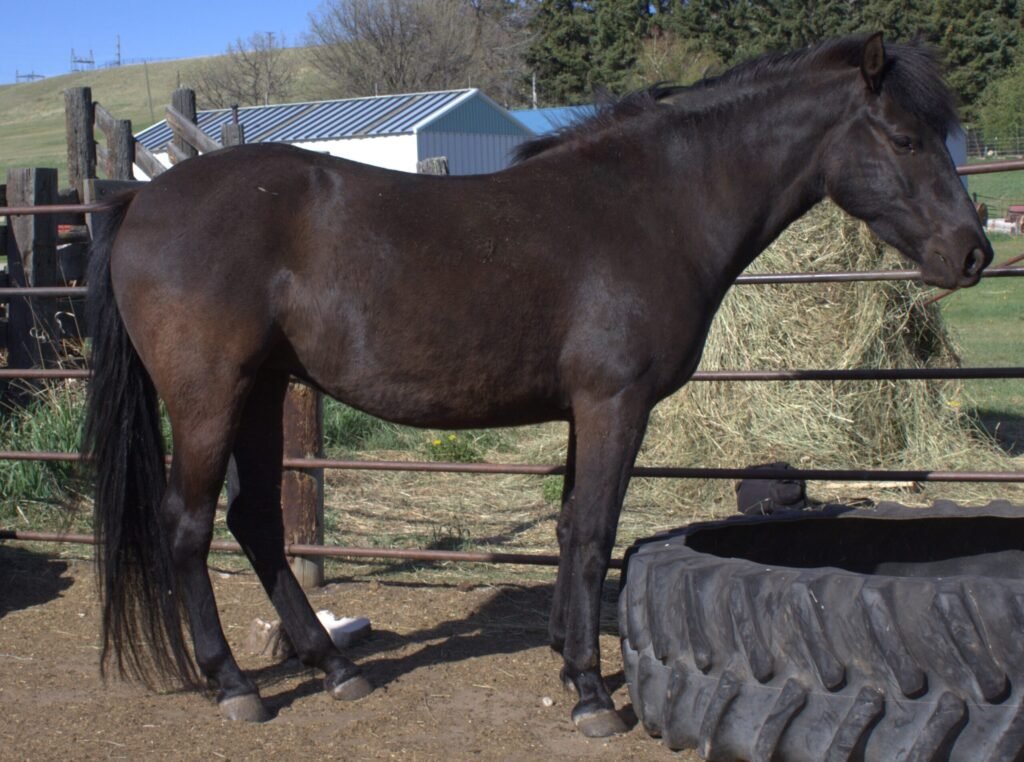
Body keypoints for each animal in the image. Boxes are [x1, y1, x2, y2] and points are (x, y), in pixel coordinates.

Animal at [84, 33, 991, 737]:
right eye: (905, 138)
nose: (973, 252)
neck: (651, 204)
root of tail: (142, 199)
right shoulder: (615, 404)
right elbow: (593, 533)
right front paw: (592, 692)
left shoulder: (585, 412)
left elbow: (565, 526)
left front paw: (564, 659)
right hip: (210, 397)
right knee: (189, 526)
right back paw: (235, 685)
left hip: (266, 391)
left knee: (258, 522)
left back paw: (334, 666)